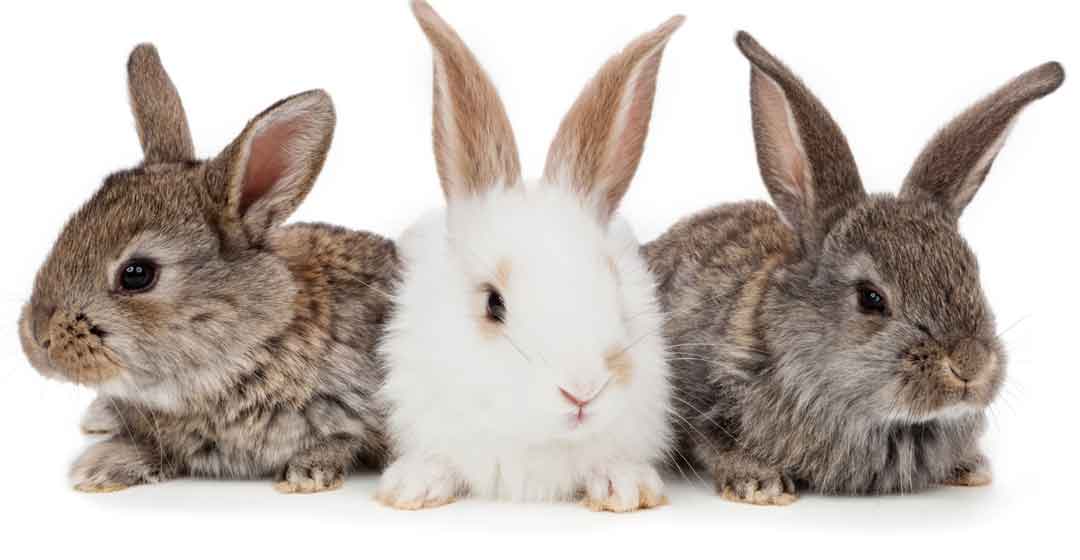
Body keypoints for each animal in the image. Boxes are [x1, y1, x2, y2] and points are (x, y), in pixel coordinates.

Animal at [644, 32, 1064, 505]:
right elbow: (716, 441)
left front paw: (970, 467)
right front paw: (761, 483)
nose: (969, 365)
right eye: (871, 298)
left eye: (974, 274)